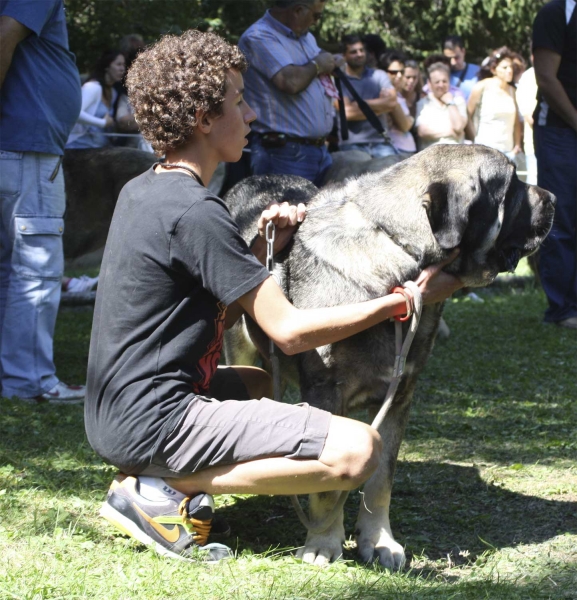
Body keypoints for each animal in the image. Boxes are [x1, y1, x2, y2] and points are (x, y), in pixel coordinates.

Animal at [224, 144, 552, 568]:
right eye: (512, 187)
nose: (554, 199)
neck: (398, 255)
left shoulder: (398, 394)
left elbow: (381, 478)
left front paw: (379, 542)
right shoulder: (327, 393)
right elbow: (327, 488)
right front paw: (323, 541)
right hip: (241, 351)